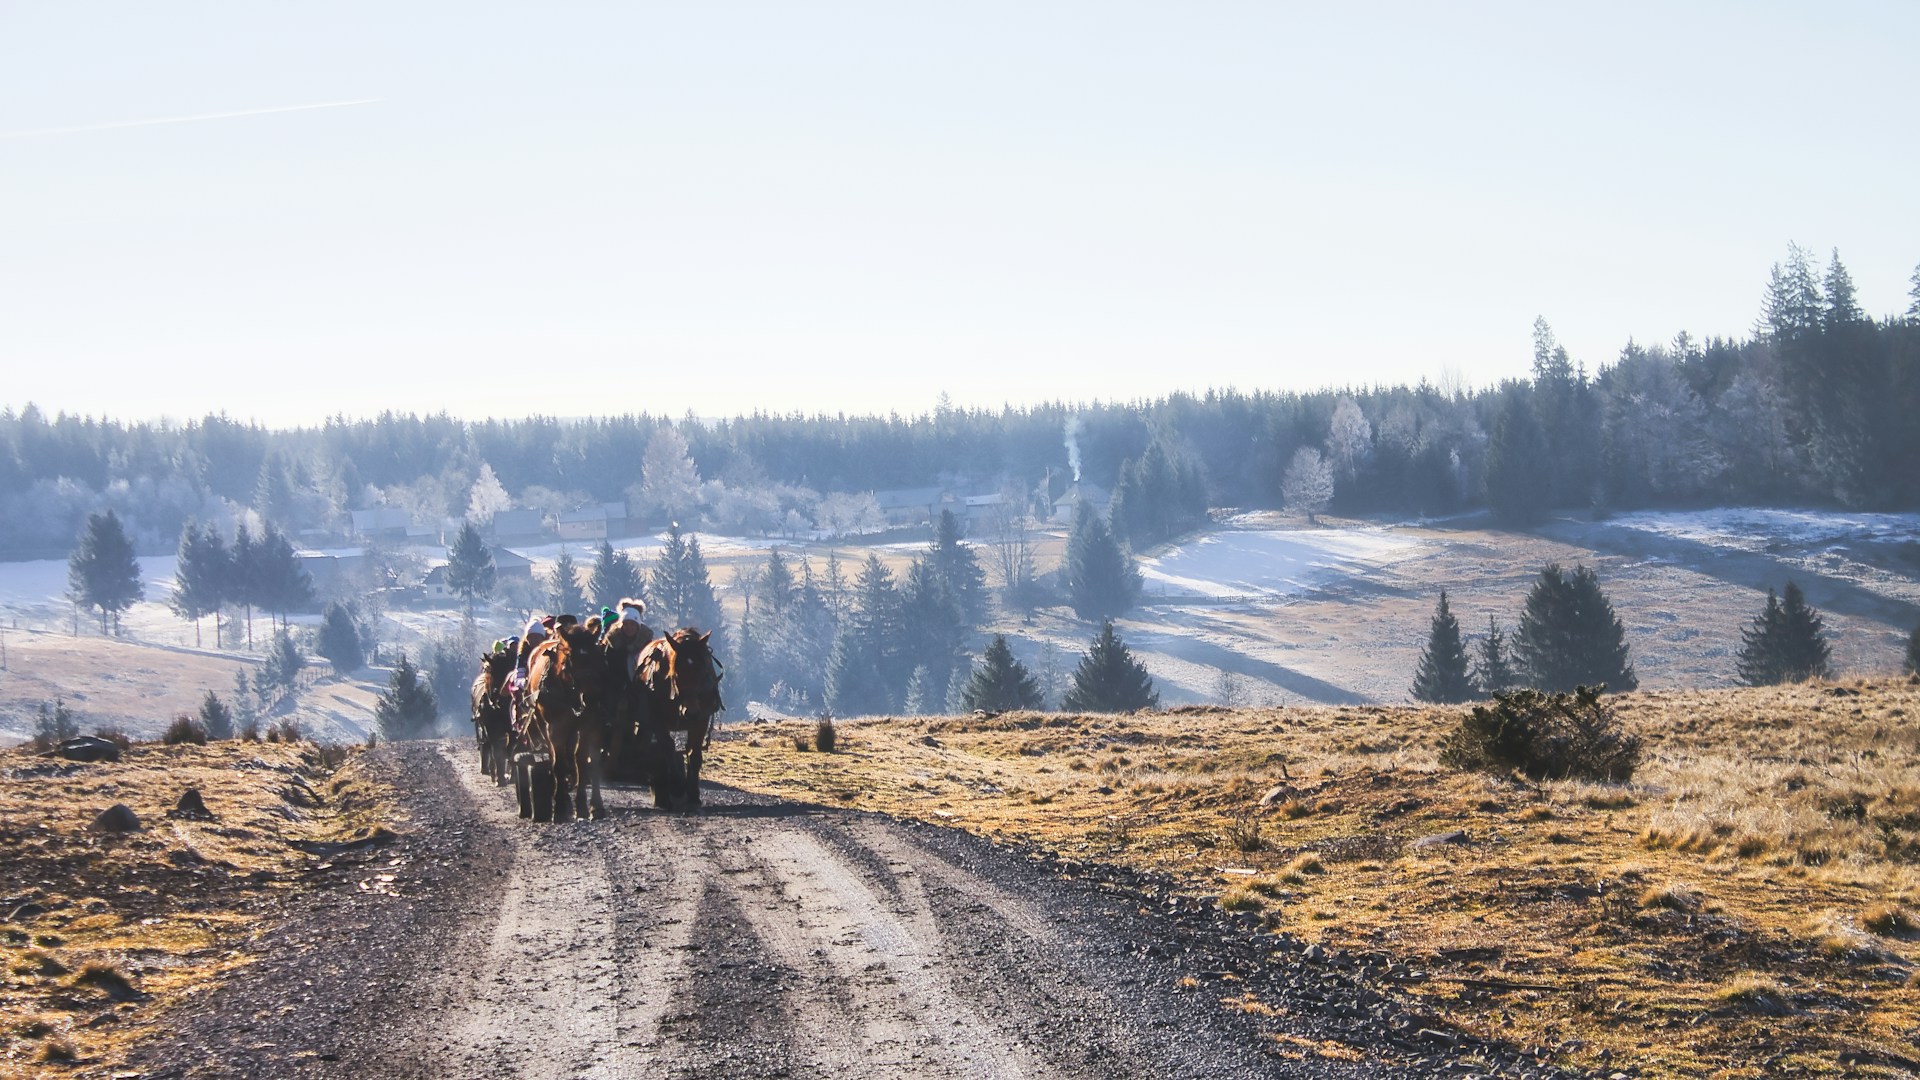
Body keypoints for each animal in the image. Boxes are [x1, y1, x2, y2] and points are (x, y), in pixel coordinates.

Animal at [470, 650, 514, 785]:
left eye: (508, 669)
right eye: (489, 670)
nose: (495, 693)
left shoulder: (513, 730)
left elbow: (511, 749)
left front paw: (510, 775)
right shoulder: (490, 729)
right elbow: (496, 752)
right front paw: (499, 778)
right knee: (487, 746)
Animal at [630, 628, 725, 809]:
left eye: (704, 671)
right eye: (676, 673)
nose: (691, 712)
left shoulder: (701, 720)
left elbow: (694, 754)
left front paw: (693, 794)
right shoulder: (656, 720)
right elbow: (668, 747)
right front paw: (676, 788)